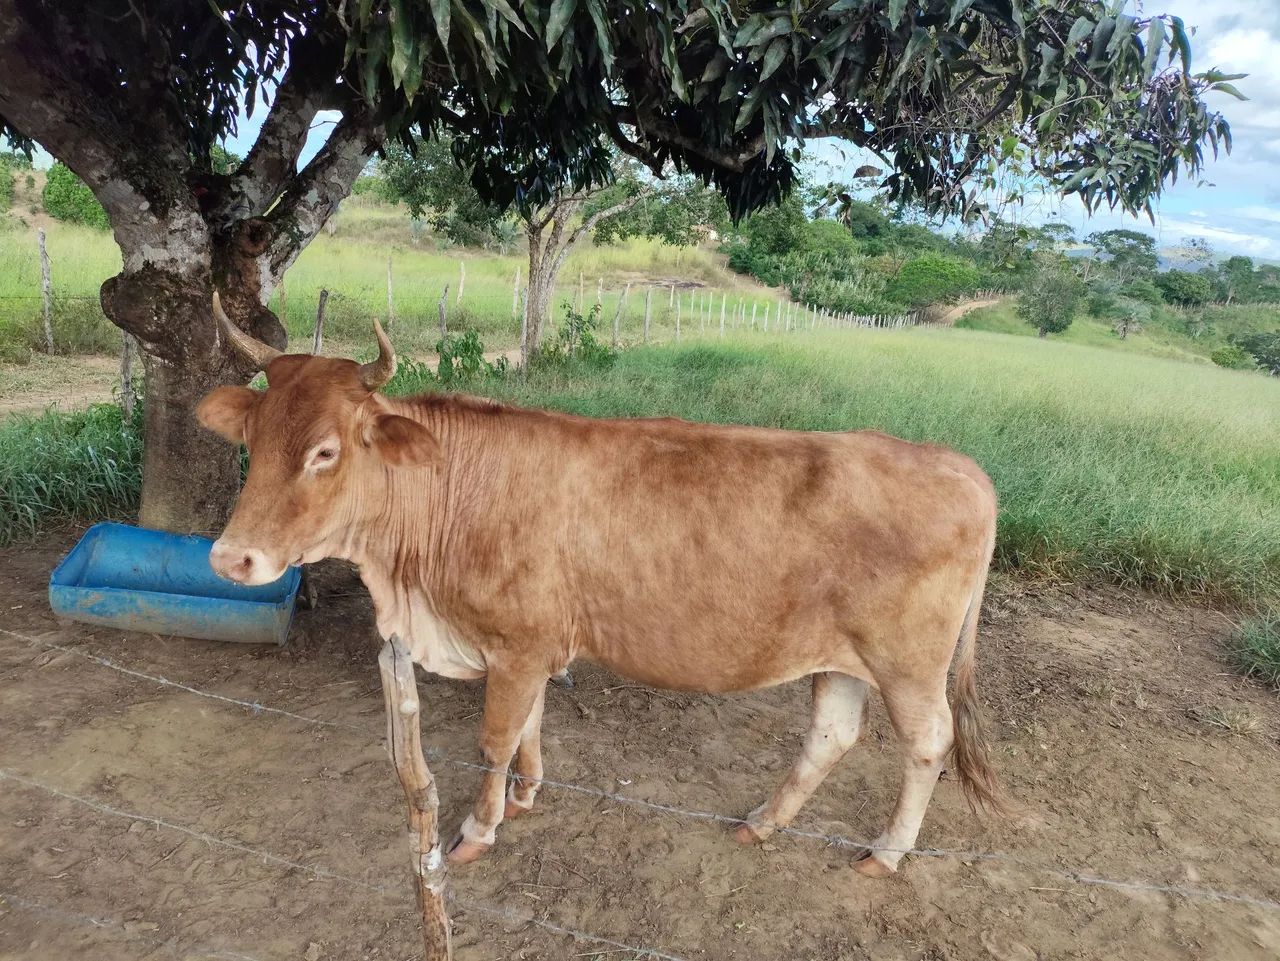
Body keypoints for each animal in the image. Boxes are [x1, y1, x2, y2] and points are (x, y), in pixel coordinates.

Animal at [197, 294, 1002, 877]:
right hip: (843, 657)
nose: (232, 560)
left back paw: (886, 855)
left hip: (908, 664)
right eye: (253, 441)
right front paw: (526, 793)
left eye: (325, 451)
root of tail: (962, 466)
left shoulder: (518, 644)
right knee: (831, 734)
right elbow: (530, 725)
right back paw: (761, 823)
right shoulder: (529, 646)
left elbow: (495, 737)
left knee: (929, 742)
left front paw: (478, 828)